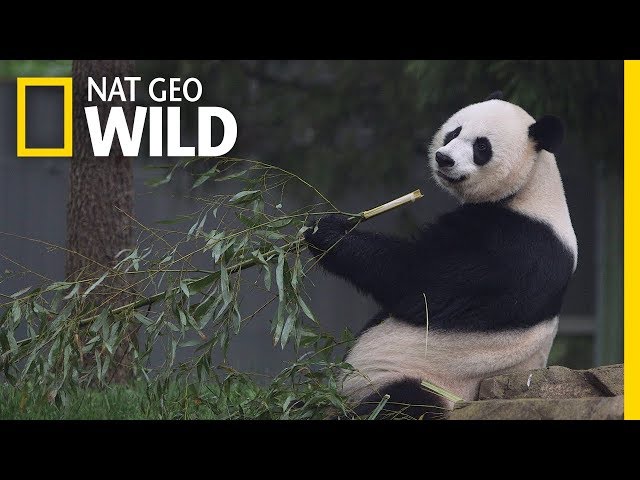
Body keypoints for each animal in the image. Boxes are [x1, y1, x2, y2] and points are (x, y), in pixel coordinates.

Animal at [304, 92, 578, 419]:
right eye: (454, 132)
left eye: (481, 147)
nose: (443, 158)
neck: (531, 187)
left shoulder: (518, 249)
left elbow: (420, 280)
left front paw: (327, 231)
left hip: (430, 383)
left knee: (402, 401)